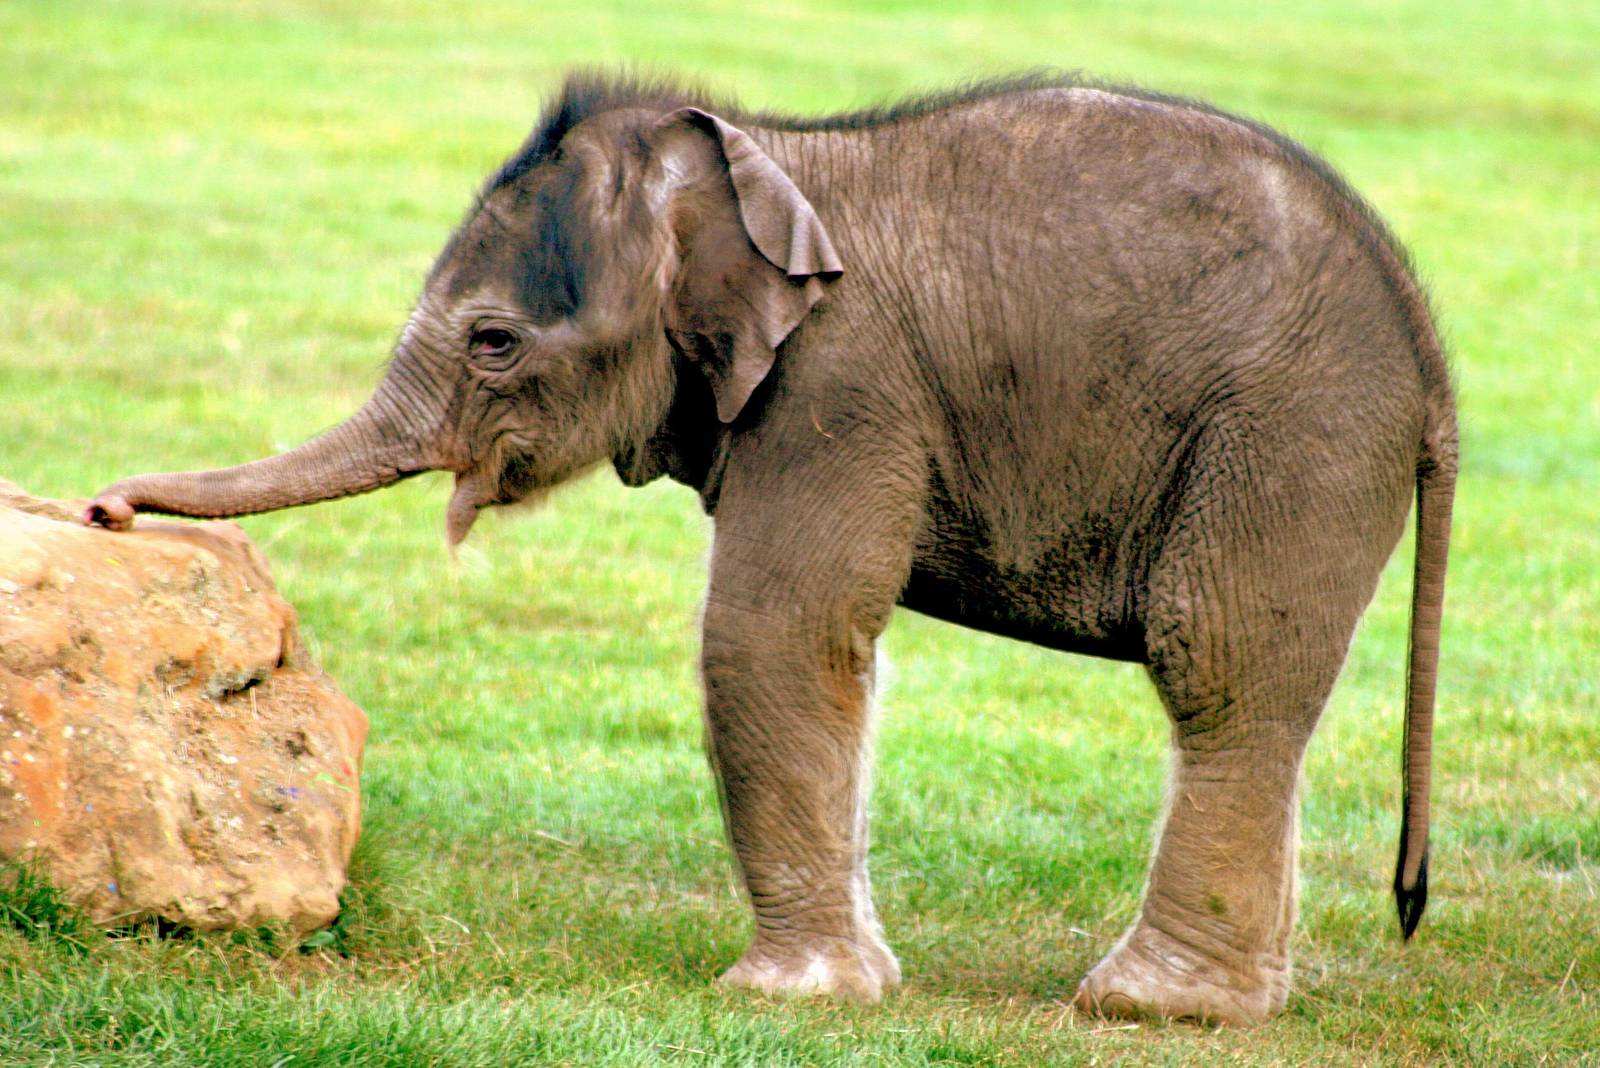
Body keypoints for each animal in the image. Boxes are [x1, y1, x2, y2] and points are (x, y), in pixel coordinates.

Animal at [85, 71, 1457, 1025]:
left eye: (493, 343)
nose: (105, 509)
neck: (755, 158)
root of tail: (1425, 341)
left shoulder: (839, 386)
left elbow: (775, 634)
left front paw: (783, 998)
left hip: (1290, 437)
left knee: (1216, 668)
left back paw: (1149, 1008)